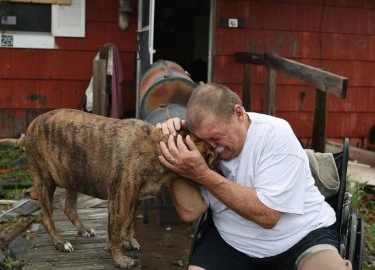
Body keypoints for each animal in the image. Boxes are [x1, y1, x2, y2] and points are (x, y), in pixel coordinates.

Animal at [0, 109, 220, 268]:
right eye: (213, 159)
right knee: (46, 217)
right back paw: (60, 242)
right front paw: (119, 258)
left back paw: (83, 229)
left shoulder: (134, 199)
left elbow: (128, 223)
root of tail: (28, 131)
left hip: (71, 176)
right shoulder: (119, 201)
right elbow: (114, 232)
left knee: (68, 208)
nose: (221, 174)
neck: (159, 146)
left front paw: (128, 241)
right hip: (44, 181)